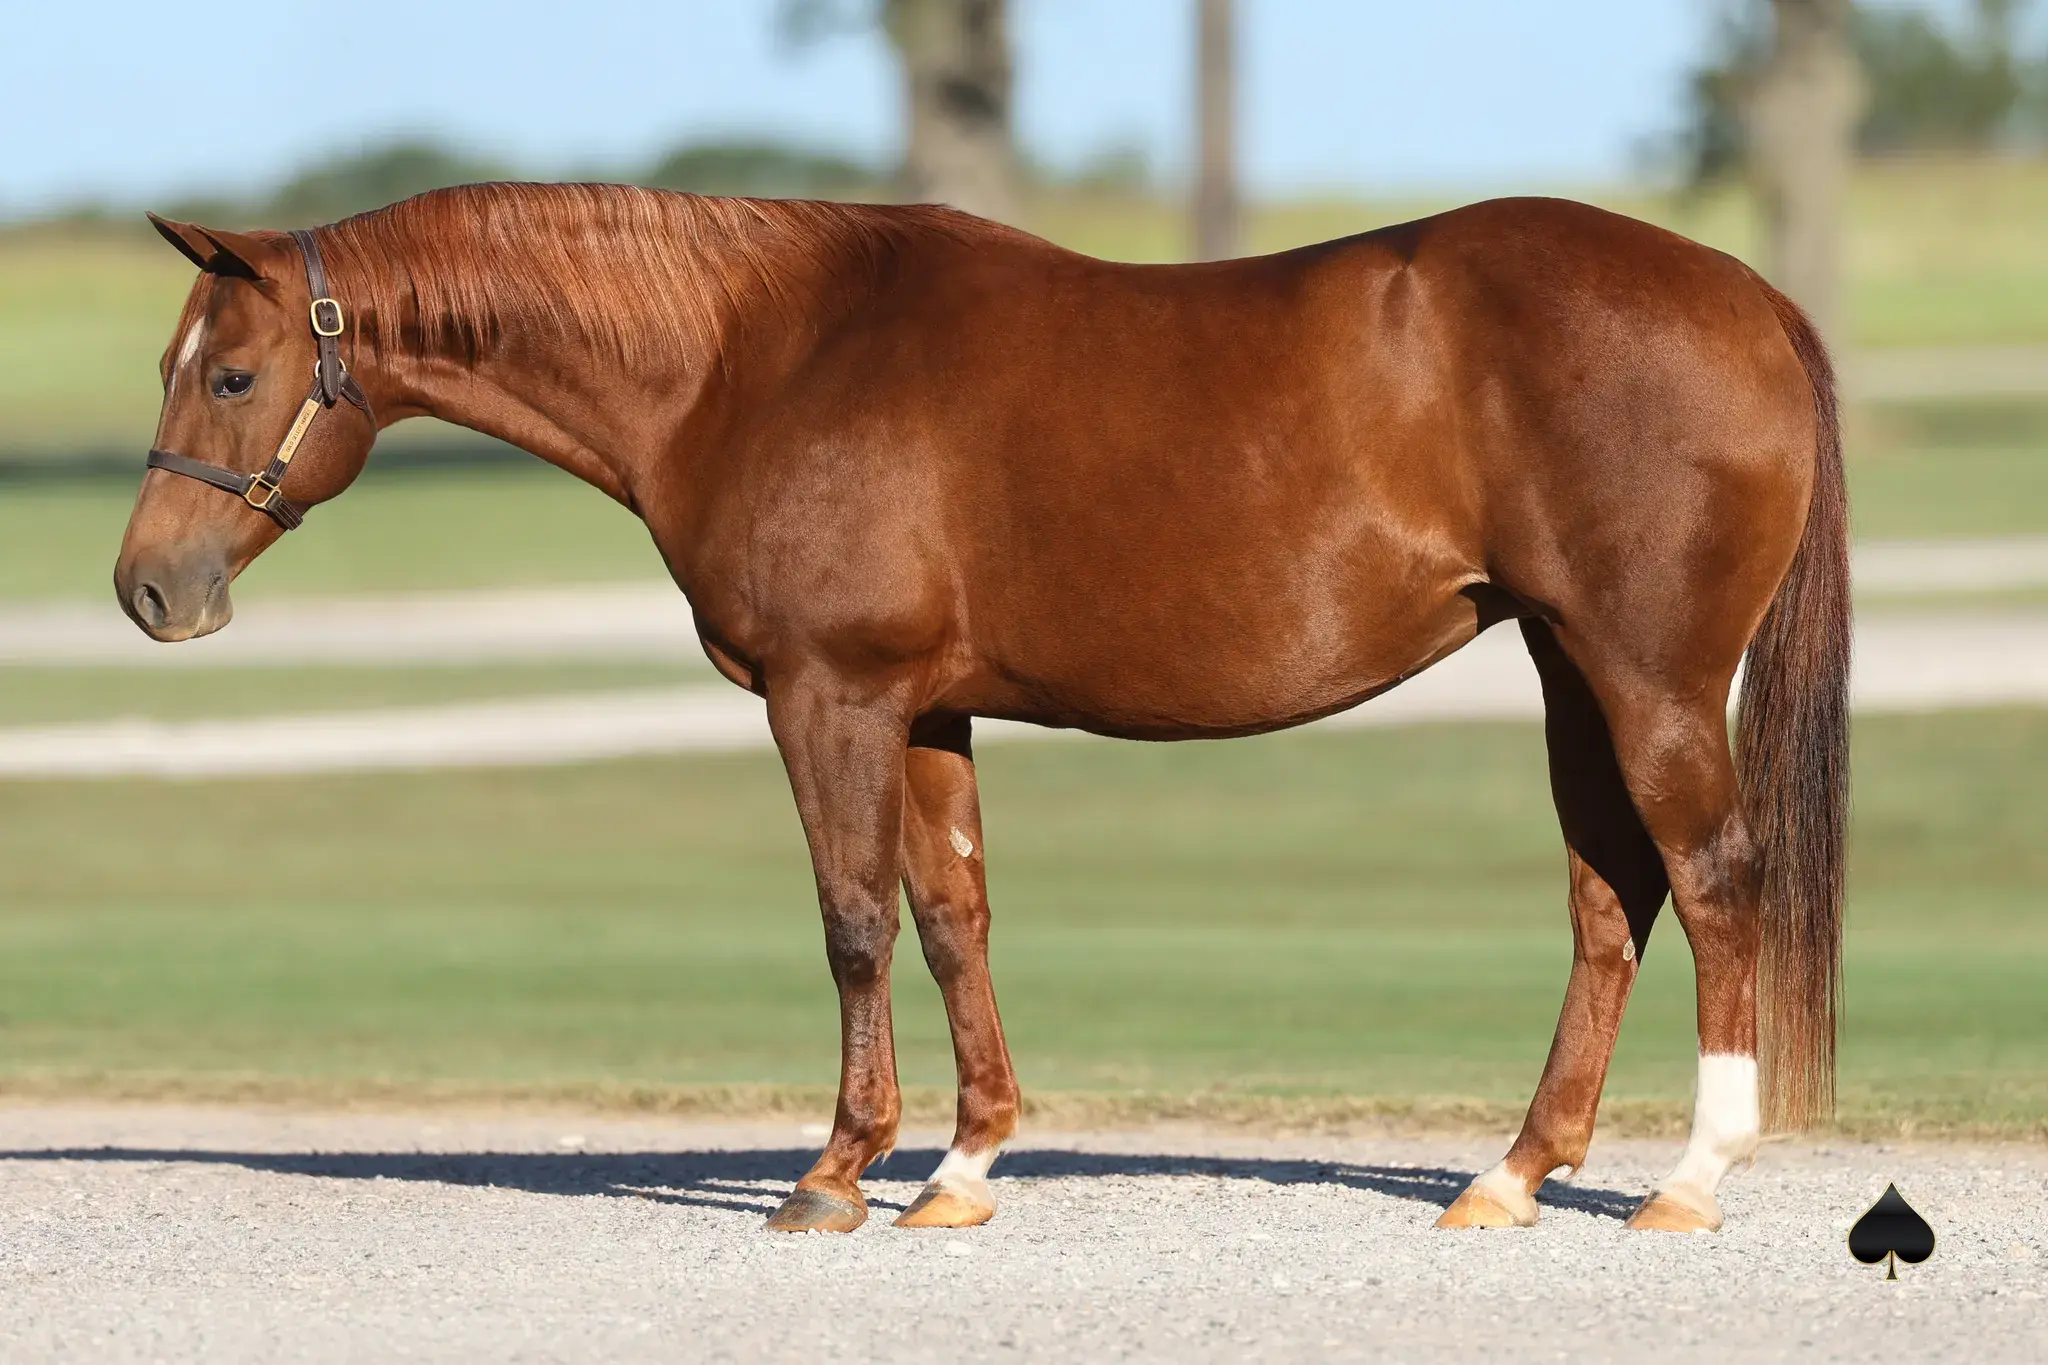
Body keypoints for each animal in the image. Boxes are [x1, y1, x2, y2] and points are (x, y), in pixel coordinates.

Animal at [116, 183, 1848, 1235]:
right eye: (174, 364)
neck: (750, 358)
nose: (146, 591)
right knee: (1612, 898)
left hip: (1644, 672)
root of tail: (1745, 293)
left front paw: (834, 1172)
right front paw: (960, 1166)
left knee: (1712, 879)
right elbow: (954, 918)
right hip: (1568, 664)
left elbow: (853, 923)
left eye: (229, 376)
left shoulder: (830, 696)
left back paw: (1692, 1175)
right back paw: (1513, 1173)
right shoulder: (927, 714)